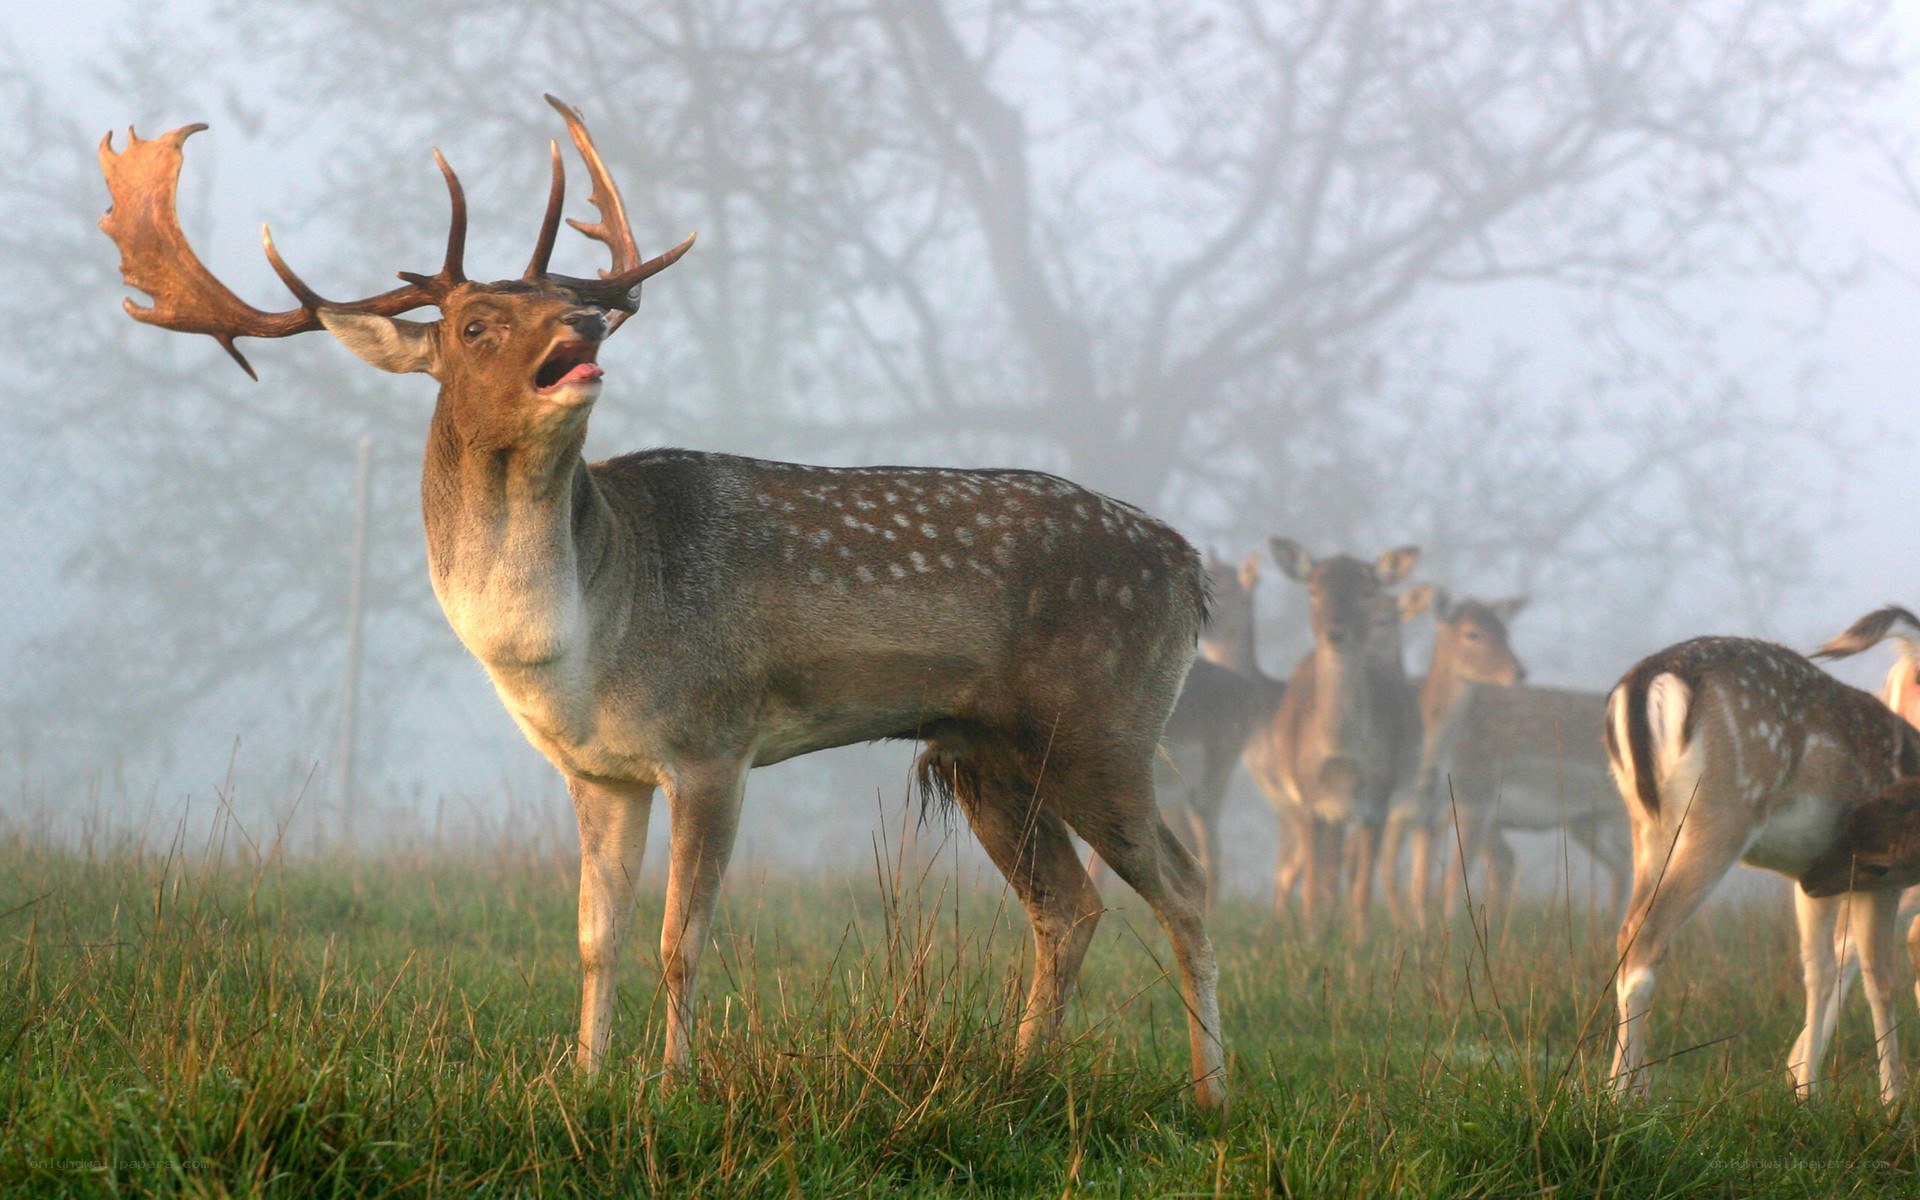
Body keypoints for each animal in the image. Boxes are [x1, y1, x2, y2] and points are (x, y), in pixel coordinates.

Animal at [99, 97, 1227, 1110]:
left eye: (557, 300)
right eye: (475, 322)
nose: (588, 317)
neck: (586, 639)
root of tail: (1191, 569)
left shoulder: (713, 739)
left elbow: (681, 941)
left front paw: (673, 1087)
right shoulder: (600, 772)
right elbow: (595, 939)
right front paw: (584, 1077)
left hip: (1102, 722)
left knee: (1184, 883)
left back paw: (1211, 1094)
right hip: (983, 751)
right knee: (1068, 907)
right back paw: (1024, 1073)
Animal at [1243, 540, 1421, 935]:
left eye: (1367, 591)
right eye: (1312, 589)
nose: (1335, 632)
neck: (1342, 754)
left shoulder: (1379, 798)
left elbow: (1362, 887)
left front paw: (1360, 940)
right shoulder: (1308, 797)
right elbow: (1311, 884)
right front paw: (1311, 937)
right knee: (1319, 873)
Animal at [1605, 636, 1920, 1103]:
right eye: (1879, 862)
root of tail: (1646, 681)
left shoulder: (1815, 878)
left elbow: (1819, 971)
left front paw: (1807, 1093)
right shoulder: (1876, 876)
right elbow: (1880, 980)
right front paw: (1893, 1103)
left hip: (1647, 826)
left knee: (1628, 931)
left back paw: (1616, 1087)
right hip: (1722, 815)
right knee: (1646, 936)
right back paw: (1622, 1098)